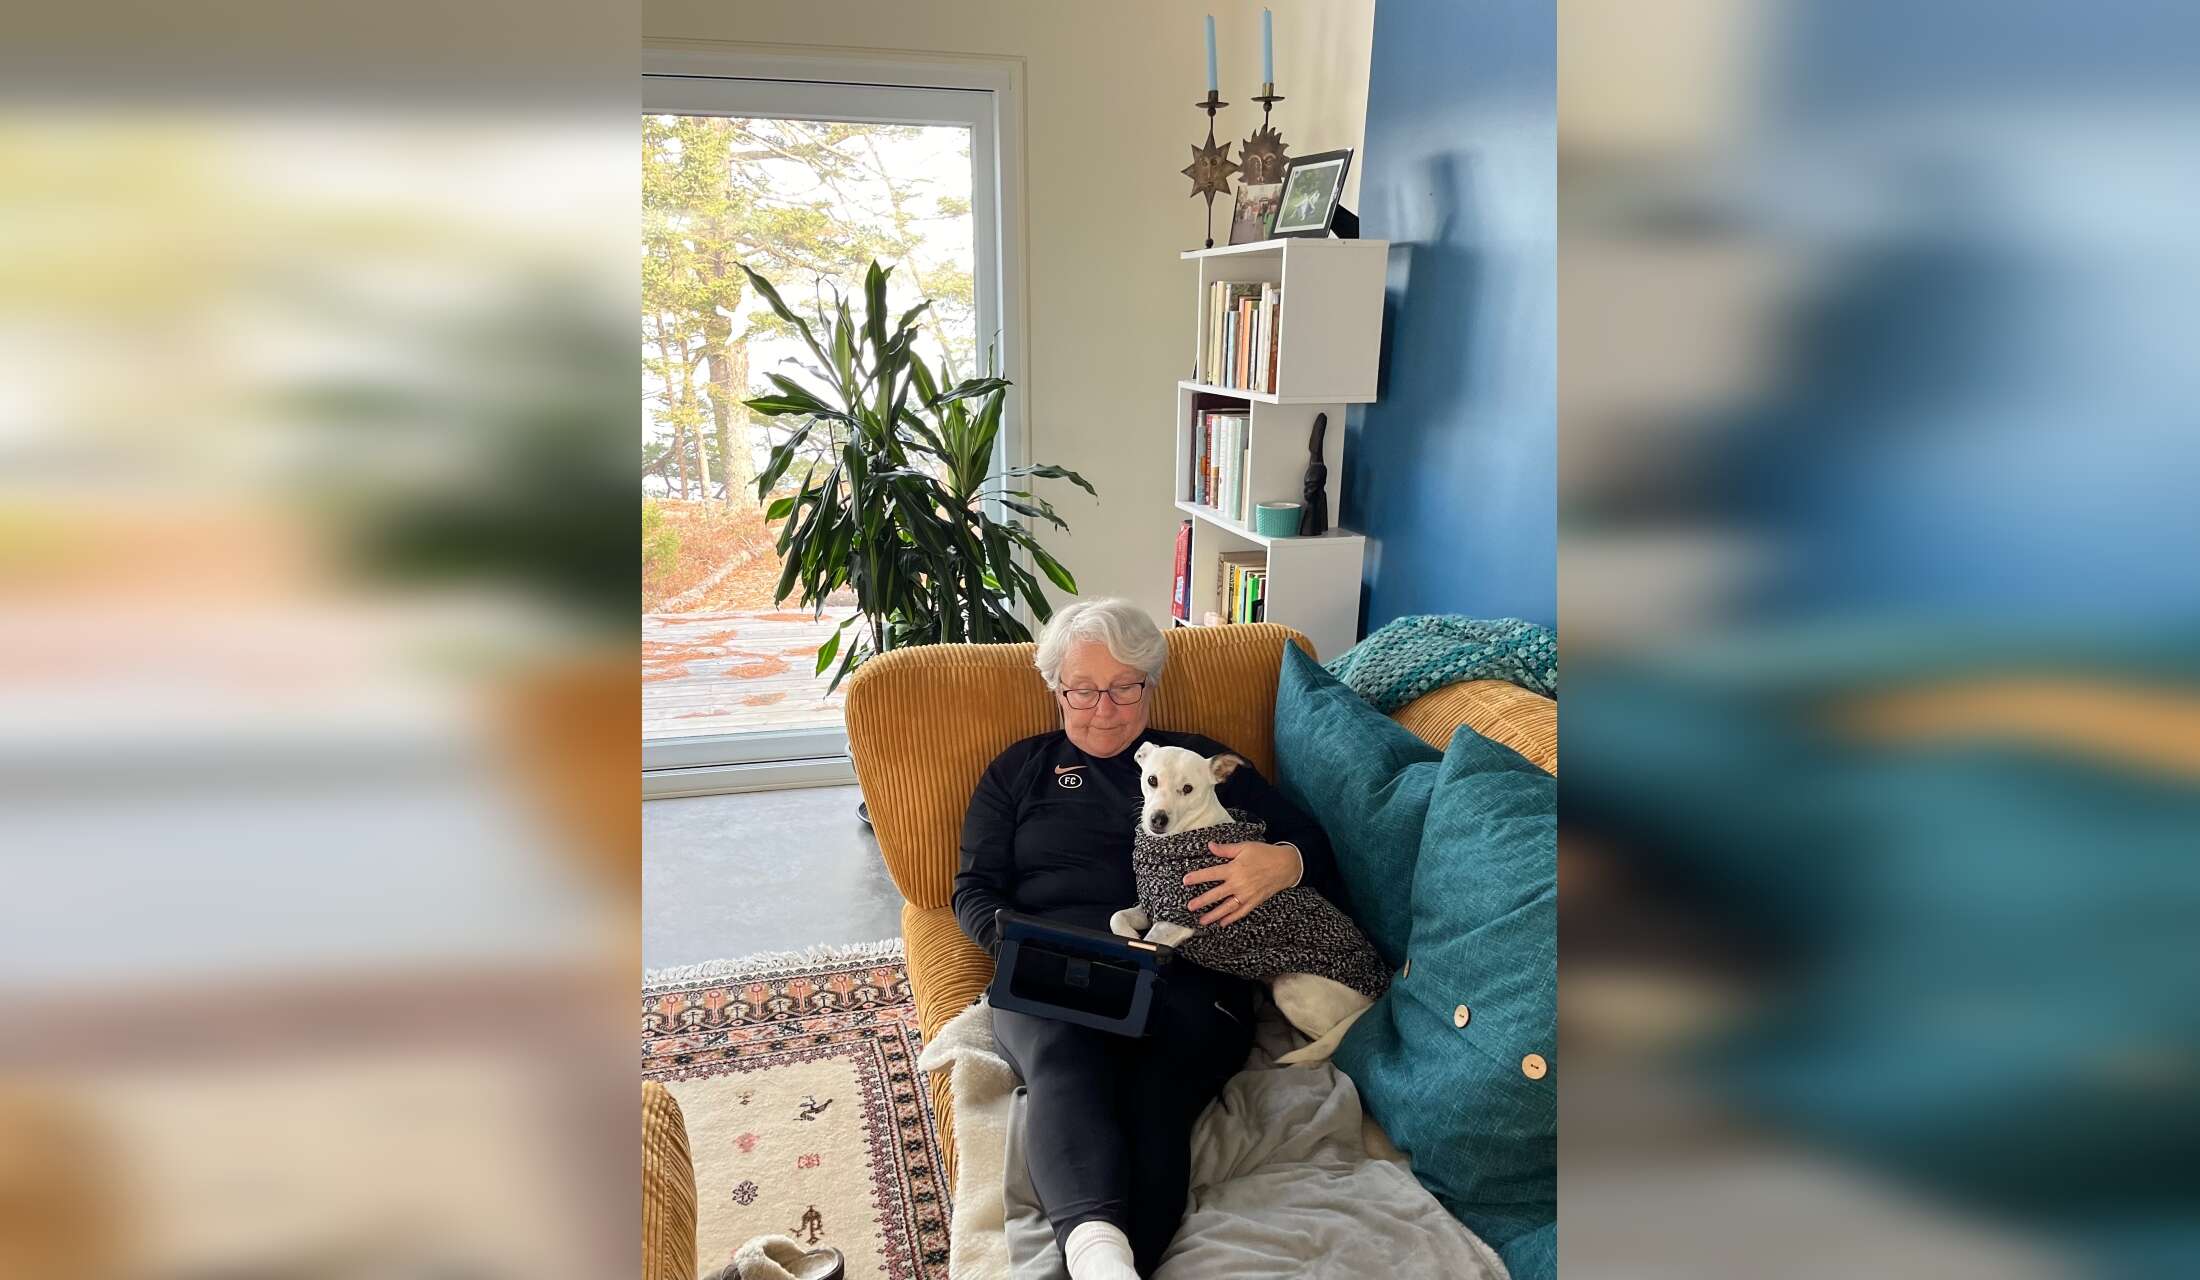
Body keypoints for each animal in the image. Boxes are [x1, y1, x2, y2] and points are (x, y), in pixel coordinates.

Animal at [1107, 743, 1388, 1066]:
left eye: (1188, 789)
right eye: (1152, 780)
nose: (1158, 819)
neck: (1182, 836)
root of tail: (1375, 998)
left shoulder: (1174, 922)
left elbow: (1147, 943)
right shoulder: (1154, 907)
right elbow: (1117, 918)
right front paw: (1129, 937)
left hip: (1292, 990)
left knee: (1324, 1046)